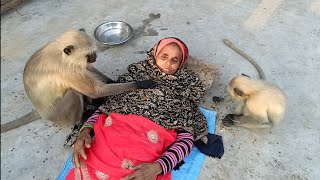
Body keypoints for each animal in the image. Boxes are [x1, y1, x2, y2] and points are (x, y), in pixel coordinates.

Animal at [0, 28, 155, 132]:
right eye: (89, 54)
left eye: (93, 53)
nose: (95, 58)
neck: (60, 53)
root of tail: (40, 111)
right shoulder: (67, 69)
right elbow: (95, 90)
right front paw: (140, 84)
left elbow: (88, 70)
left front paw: (112, 82)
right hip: (57, 113)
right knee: (72, 93)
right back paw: (81, 118)